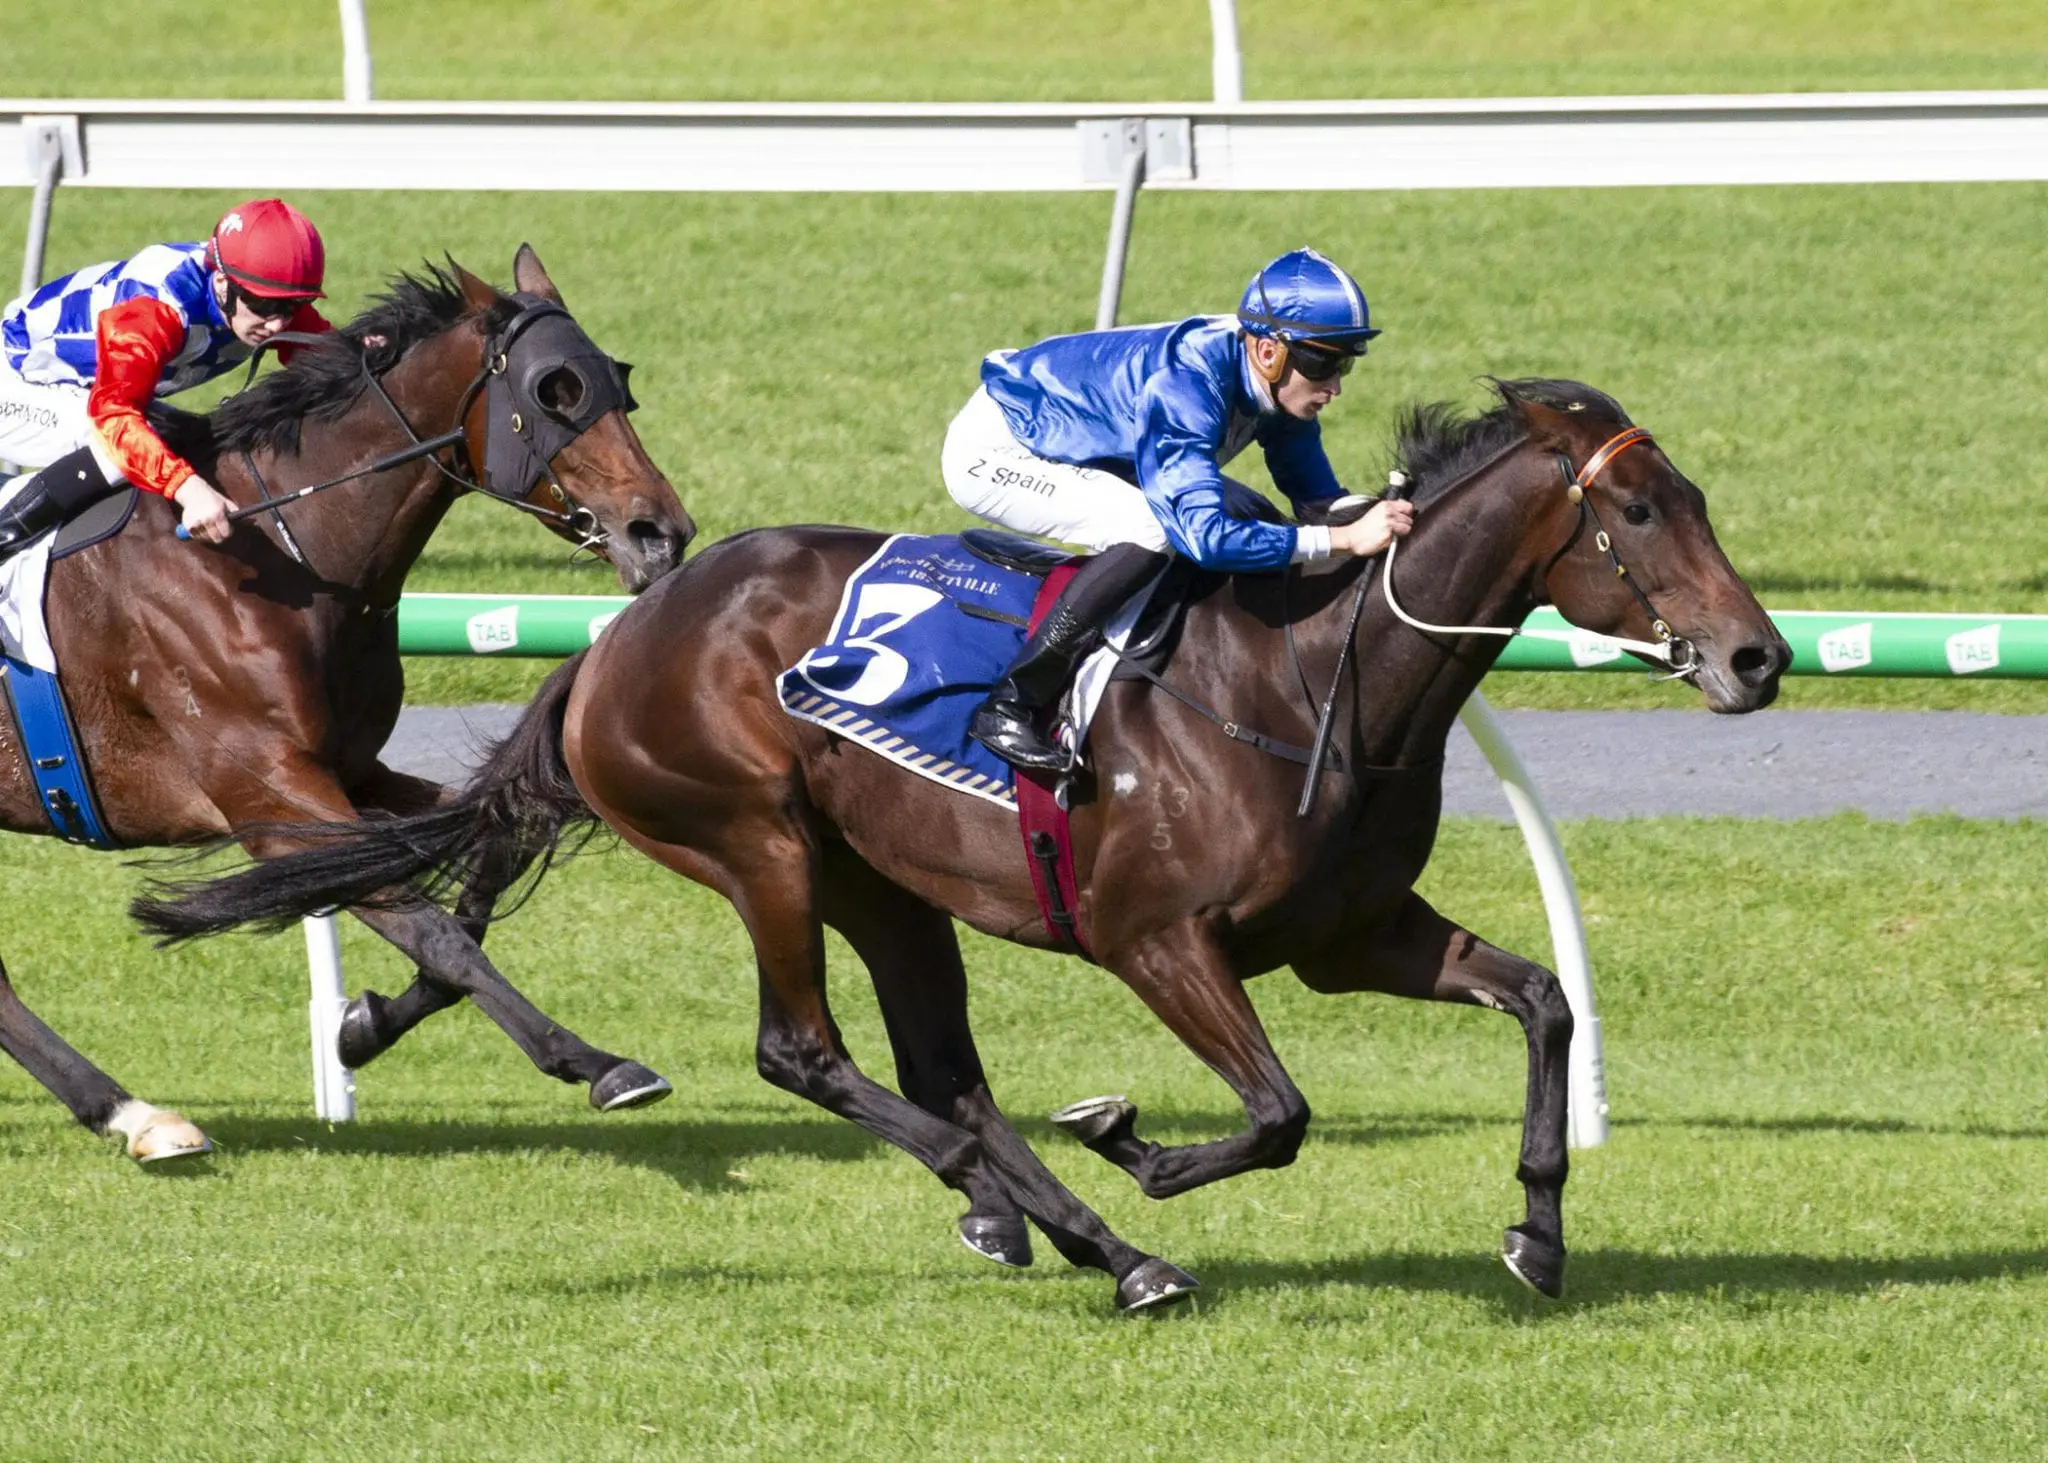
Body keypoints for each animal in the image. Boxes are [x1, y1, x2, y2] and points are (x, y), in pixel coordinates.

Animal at [0, 247, 696, 1163]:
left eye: (619, 385)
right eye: (556, 393)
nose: (663, 534)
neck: (281, 551)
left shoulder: (356, 770)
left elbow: (482, 856)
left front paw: (362, 1025)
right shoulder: (271, 797)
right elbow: (428, 923)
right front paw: (597, 1062)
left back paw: (131, 1113)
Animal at [136, 372, 1785, 1303]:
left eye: (1700, 493)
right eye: (1641, 512)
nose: (1760, 657)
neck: (1313, 675)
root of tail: (618, 637)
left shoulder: (1346, 934)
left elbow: (1543, 998)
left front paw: (1539, 1235)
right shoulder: (1156, 937)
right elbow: (1277, 1111)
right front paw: (1133, 1141)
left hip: (886, 882)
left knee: (946, 1075)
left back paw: (1081, 1237)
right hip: (758, 838)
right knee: (809, 1054)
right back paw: (1055, 1216)